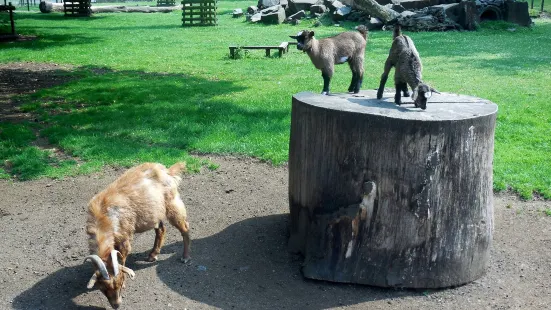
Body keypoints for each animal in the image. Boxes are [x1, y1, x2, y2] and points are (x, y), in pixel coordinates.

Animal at [84, 162, 191, 308]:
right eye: (103, 288)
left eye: (119, 284)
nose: (117, 305)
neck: (104, 218)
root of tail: (167, 171)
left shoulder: (124, 237)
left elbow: (123, 258)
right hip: (155, 212)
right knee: (161, 229)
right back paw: (152, 255)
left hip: (173, 205)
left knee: (185, 228)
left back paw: (185, 257)